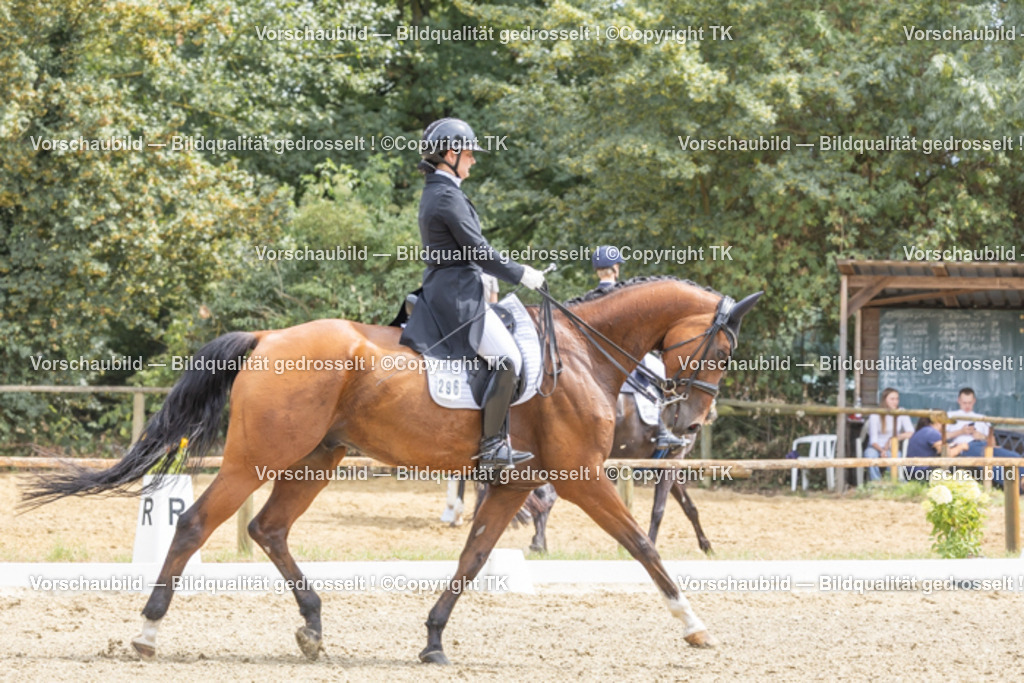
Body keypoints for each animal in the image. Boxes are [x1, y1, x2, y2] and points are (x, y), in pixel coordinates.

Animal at [25, 276, 760, 664]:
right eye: (723, 350)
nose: (687, 424)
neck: (584, 353)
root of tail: (268, 338)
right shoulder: (581, 475)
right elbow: (640, 545)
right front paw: (694, 623)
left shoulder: (518, 480)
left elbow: (475, 554)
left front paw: (434, 639)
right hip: (257, 457)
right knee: (198, 523)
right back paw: (148, 631)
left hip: (315, 460)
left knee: (268, 529)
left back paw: (313, 627)